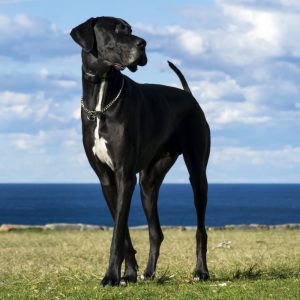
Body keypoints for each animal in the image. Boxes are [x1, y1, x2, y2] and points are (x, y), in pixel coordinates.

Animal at [70, 15, 211, 286]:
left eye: (130, 30)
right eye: (115, 31)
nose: (143, 43)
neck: (101, 99)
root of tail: (188, 95)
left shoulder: (124, 176)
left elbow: (117, 234)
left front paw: (111, 276)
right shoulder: (108, 180)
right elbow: (122, 231)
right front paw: (129, 274)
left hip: (197, 174)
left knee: (201, 230)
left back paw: (201, 271)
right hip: (148, 182)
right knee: (156, 232)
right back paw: (148, 273)